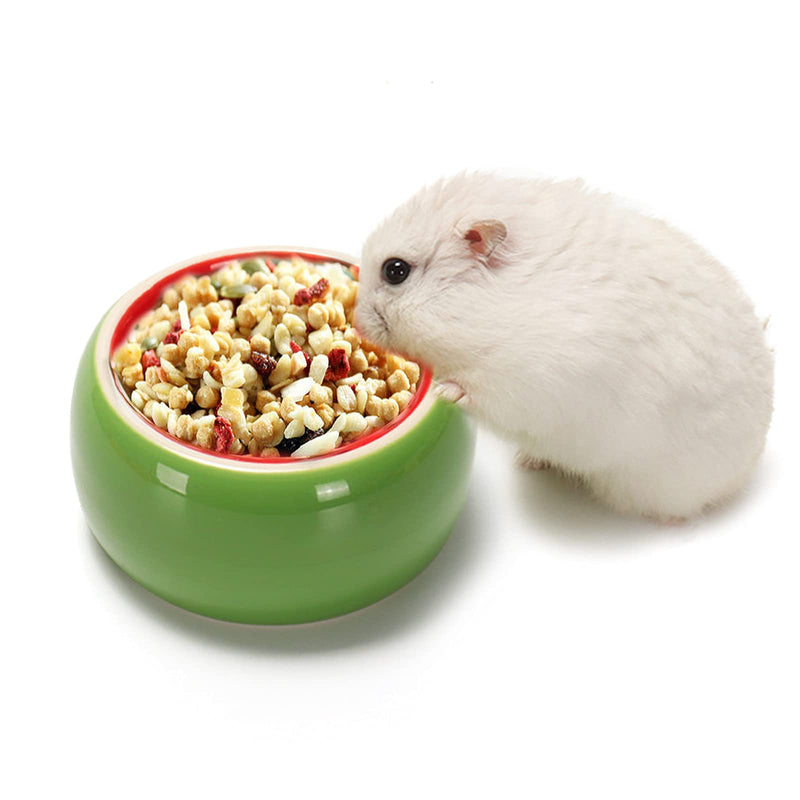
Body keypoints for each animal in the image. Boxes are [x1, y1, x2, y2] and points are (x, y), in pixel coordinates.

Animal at [354, 171, 774, 521]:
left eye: (396, 271)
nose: (357, 325)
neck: (491, 308)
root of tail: (752, 459)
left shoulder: (531, 382)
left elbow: (478, 392)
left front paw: (445, 390)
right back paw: (529, 462)